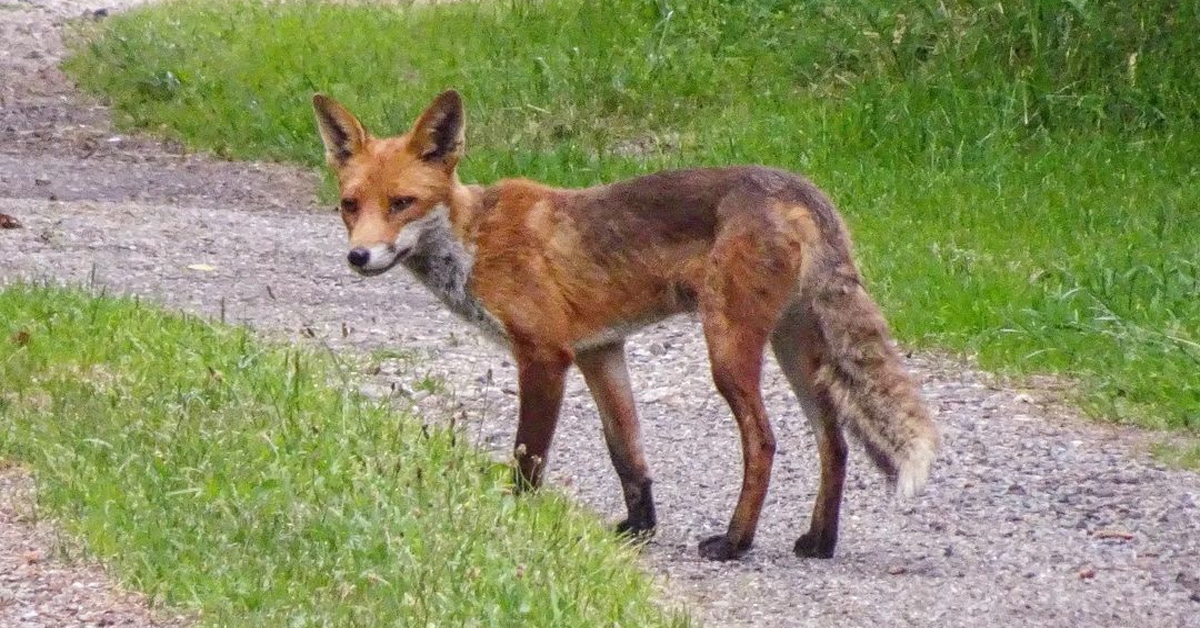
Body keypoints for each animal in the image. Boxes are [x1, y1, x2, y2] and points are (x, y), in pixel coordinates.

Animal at [312, 90, 939, 561]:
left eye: (402, 203)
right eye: (350, 205)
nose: (358, 257)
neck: (475, 241)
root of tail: (797, 186)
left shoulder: (545, 355)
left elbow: (527, 458)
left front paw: (512, 523)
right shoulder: (601, 350)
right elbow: (627, 454)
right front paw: (638, 530)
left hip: (728, 349)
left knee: (764, 441)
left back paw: (735, 542)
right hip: (794, 351)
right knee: (834, 442)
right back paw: (819, 540)